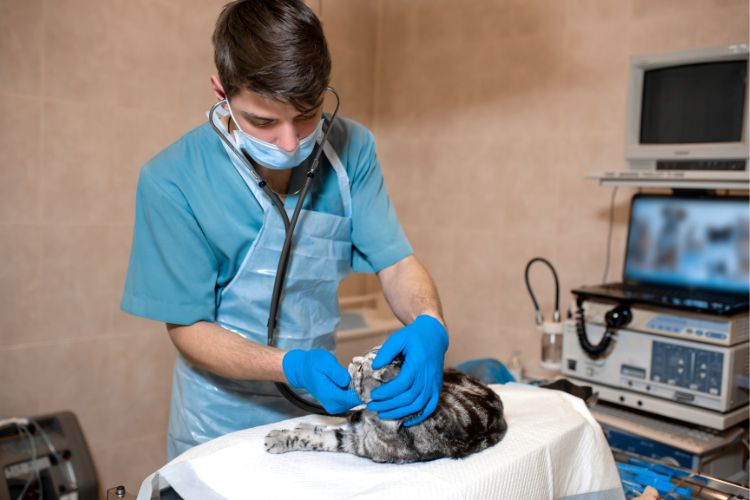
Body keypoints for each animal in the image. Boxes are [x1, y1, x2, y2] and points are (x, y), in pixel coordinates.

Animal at [262, 346, 508, 462]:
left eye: (362, 368)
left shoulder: (357, 444)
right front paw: (287, 435)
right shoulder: (355, 434)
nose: (353, 360)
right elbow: (322, 433)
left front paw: (278, 439)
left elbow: (316, 439)